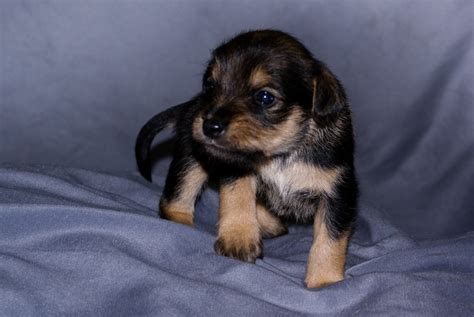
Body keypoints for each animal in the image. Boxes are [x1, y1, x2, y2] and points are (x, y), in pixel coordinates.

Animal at [135, 29, 358, 286]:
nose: (209, 125)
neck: (281, 153)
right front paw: (238, 236)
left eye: (265, 97)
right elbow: (237, 197)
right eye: (210, 84)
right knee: (176, 199)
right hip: (190, 159)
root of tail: (191, 104)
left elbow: (330, 239)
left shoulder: (338, 194)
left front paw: (325, 281)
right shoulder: (234, 165)